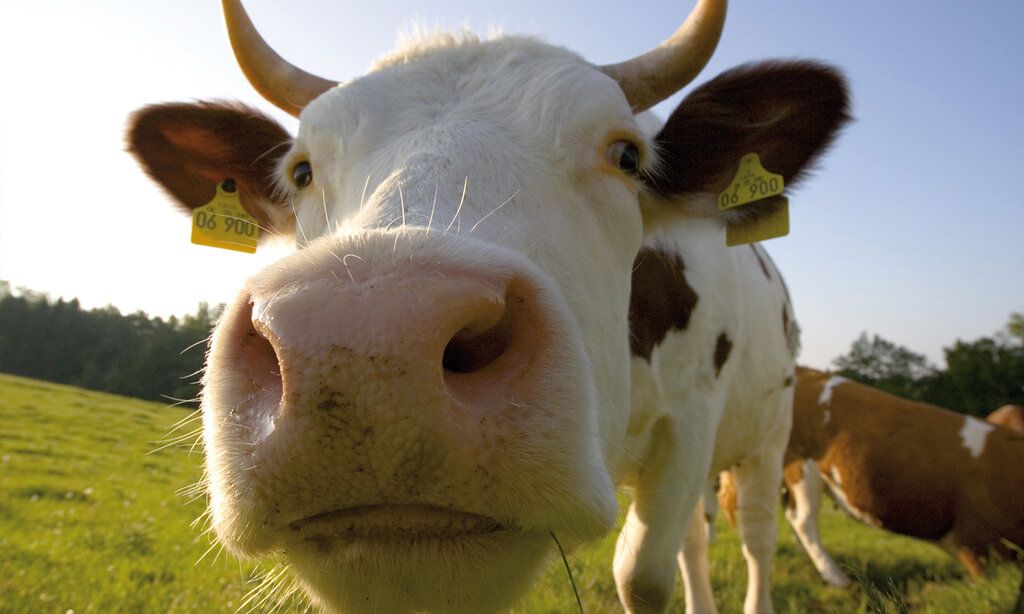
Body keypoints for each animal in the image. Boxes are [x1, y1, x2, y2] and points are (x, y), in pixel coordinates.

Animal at [125, 2, 847, 609]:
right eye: (300, 171)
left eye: (627, 155)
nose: (365, 350)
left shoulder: (691, 420)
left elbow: (642, 576)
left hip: (770, 433)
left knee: (755, 534)